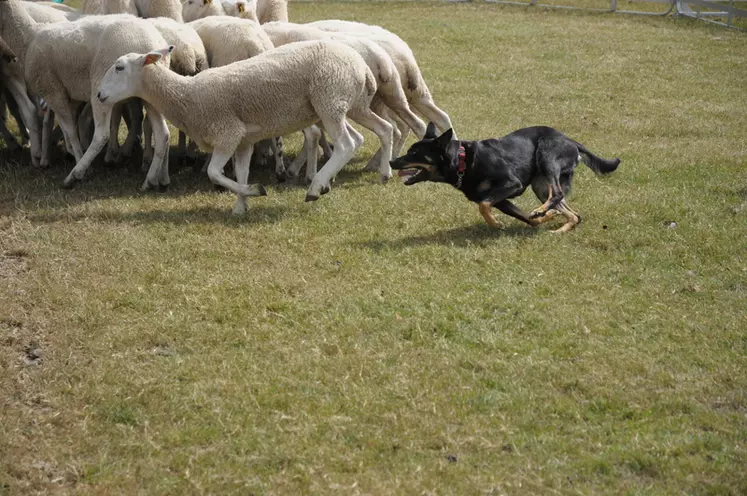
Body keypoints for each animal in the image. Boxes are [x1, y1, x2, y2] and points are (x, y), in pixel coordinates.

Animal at [22, 13, 175, 189]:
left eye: (119, 67)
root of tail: (154, 42)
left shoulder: (53, 91)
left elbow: (70, 130)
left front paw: (78, 161)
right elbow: (67, 128)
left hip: (100, 88)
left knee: (102, 134)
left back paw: (75, 174)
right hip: (151, 96)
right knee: (163, 133)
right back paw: (155, 179)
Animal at [95, 39, 392, 214]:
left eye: (119, 68)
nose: (99, 95)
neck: (187, 96)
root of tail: (362, 66)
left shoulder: (227, 133)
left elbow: (214, 173)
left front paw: (254, 191)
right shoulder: (243, 141)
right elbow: (240, 172)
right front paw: (242, 205)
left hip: (329, 99)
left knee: (346, 144)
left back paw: (316, 187)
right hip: (349, 104)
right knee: (380, 130)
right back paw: (384, 173)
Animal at [388, 123, 624, 233]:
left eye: (414, 153)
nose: (391, 162)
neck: (465, 161)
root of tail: (572, 141)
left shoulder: (511, 185)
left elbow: (484, 206)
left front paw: (496, 223)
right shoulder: (501, 201)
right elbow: (524, 217)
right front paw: (544, 218)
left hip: (547, 156)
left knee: (557, 194)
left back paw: (543, 211)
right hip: (540, 185)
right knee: (574, 215)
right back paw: (556, 225)